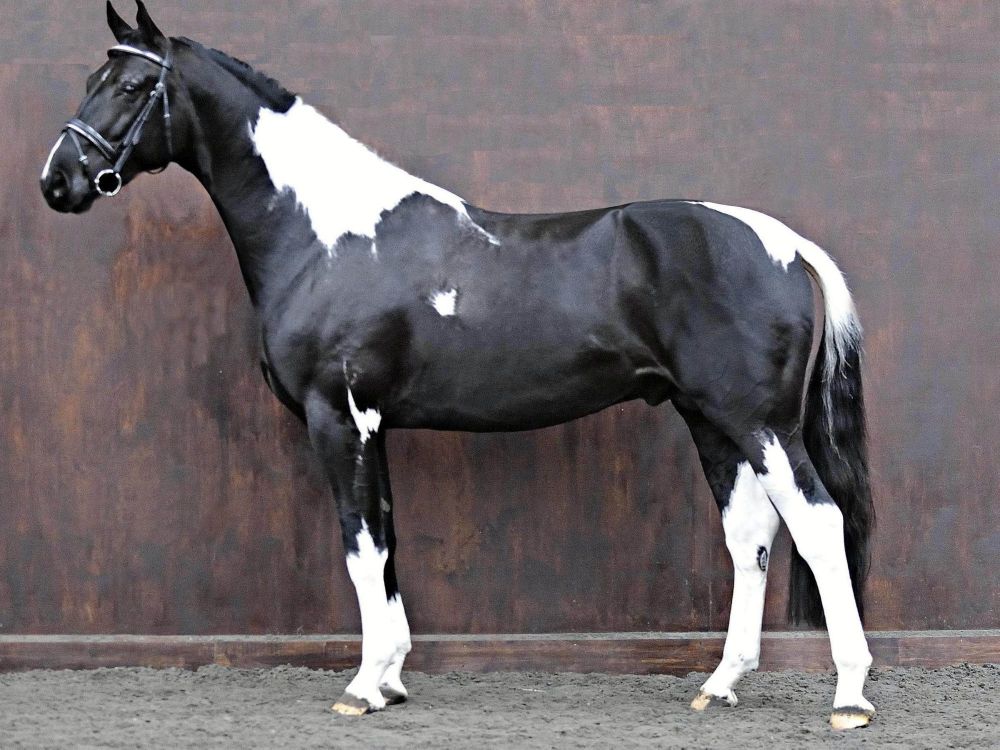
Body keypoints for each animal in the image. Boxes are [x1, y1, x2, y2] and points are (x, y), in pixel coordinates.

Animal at [41, 2, 876, 729]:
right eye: (91, 79)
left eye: (129, 85)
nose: (59, 181)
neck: (326, 235)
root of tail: (791, 246)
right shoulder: (372, 426)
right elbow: (385, 539)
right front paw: (390, 679)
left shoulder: (338, 418)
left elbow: (359, 545)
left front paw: (361, 688)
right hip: (710, 420)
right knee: (751, 536)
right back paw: (720, 684)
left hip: (760, 426)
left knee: (818, 524)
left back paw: (850, 698)